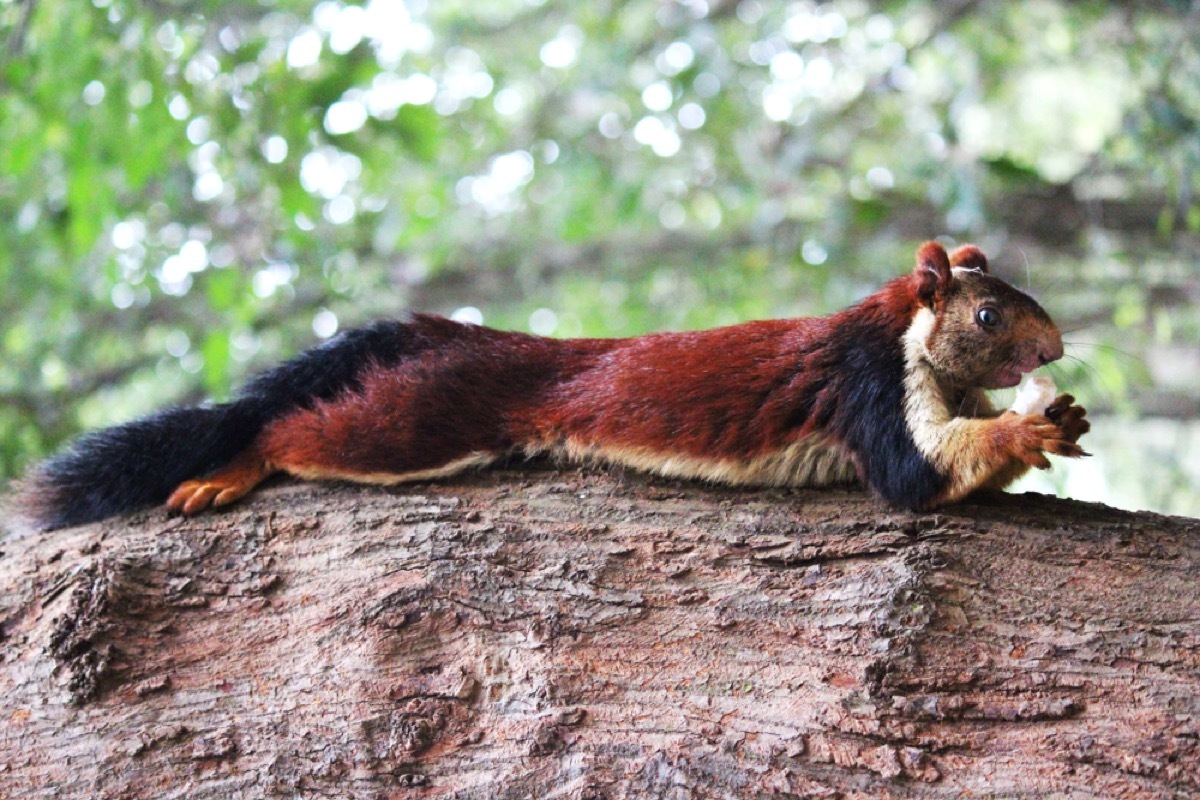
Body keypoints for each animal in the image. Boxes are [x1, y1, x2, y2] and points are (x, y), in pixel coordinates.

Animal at [16, 242, 1089, 532]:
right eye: (988, 316)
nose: (1056, 351)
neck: (902, 331)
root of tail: (466, 340)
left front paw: (1060, 422)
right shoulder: (867, 382)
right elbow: (915, 475)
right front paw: (1030, 433)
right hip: (424, 419)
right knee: (294, 434)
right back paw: (230, 470)